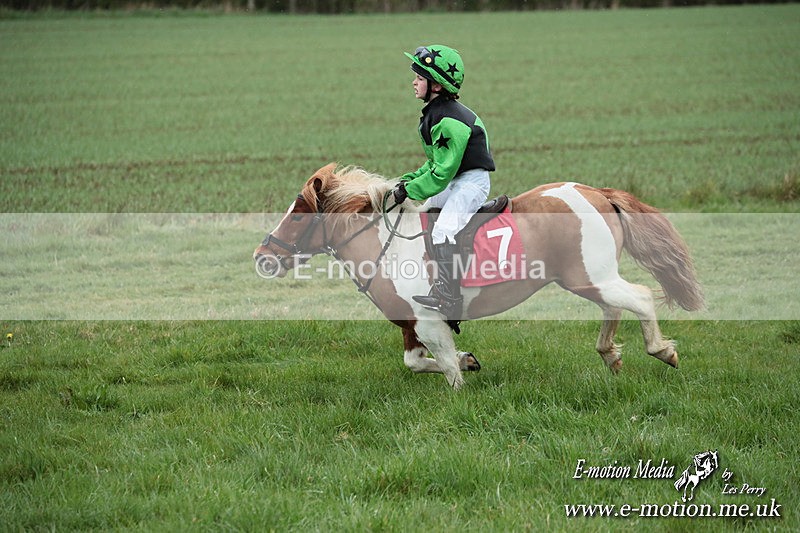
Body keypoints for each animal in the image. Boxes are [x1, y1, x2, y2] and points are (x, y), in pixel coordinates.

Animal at [253, 163, 704, 389]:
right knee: (614, 308)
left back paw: (662, 351)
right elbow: (417, 362)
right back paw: (610, 355)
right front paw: (469, 360)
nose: (262, 256)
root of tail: (597, 193)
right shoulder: (411, 326)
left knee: (639, 297)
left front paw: (459, 388)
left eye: (298, 215)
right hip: (588, 279)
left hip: (591, 276)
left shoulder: (430, 321)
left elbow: (448, 370)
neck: (385, 243)